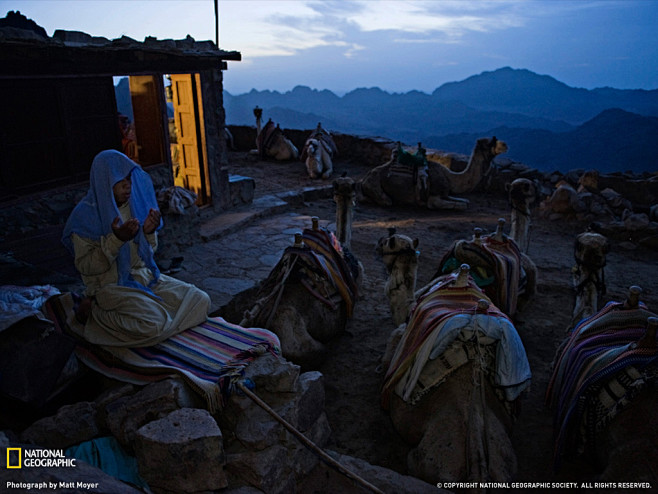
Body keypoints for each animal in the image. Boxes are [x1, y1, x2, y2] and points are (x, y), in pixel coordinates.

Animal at [358, 137, 508, 210]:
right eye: (490, 143)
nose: (505, 145)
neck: (450, 177)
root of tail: (364, 178)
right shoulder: (433, 198)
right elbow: (461, 205)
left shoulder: (446, 193)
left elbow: (465, 201)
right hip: (375, 185)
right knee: (386, 201)